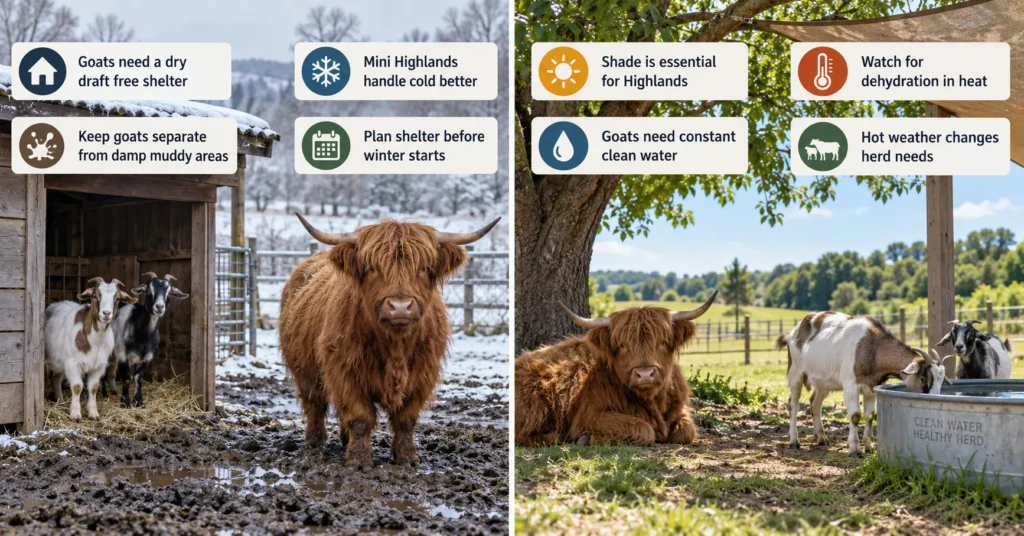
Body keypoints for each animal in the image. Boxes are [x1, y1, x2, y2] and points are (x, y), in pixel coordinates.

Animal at [45, 277, 135, 422]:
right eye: (94, 296)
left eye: (117, 298)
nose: (106, 313)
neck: (96, 341)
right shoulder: (72, 363)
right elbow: (77, 386)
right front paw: (75, 414)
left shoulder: (99, 366)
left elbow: (93, 387)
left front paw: (93, 413)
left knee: (56, 378)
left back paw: (60, 400)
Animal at [104, 273, 189, 408]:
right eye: (148, 290)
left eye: (170, 292)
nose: (159, 307)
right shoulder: (122, 353)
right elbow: (127, 378)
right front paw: (125, 402)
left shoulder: (146, 357)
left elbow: (138, 378)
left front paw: (139, 401)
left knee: (111, 372)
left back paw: (113, 391)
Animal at [278, 213, 499, 469]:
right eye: (372, 267)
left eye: (425, 267)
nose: (400, 307)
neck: (395, 347)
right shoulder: (344, 371)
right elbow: (360, 417)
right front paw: (359, 460)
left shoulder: (423, 374)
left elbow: (406, 419)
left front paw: (407, 458)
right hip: (304, 371)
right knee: (314, 404)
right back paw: (315, 443)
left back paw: (344, 440)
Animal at [514, 291, 718, 447]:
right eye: (622, 345)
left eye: (662, 341)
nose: (645, 374)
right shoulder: (589, 416)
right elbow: (644, 428)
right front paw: (587, 437)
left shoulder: (678, 410)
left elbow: (687, 432)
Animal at [776, 311, 948, 457]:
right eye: (923, 379)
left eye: (941, 380)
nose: (934, 399)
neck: (872, 347)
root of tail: (795, 330)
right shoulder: (850, 385)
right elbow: (855, 416)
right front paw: (854, 449)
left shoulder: (871, 388)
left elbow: (869, 416)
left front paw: (869, 447)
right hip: (795, 371)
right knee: (793, 403)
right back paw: (794, 440)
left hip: (823, 381)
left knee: (815, 403)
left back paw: (822, 438)